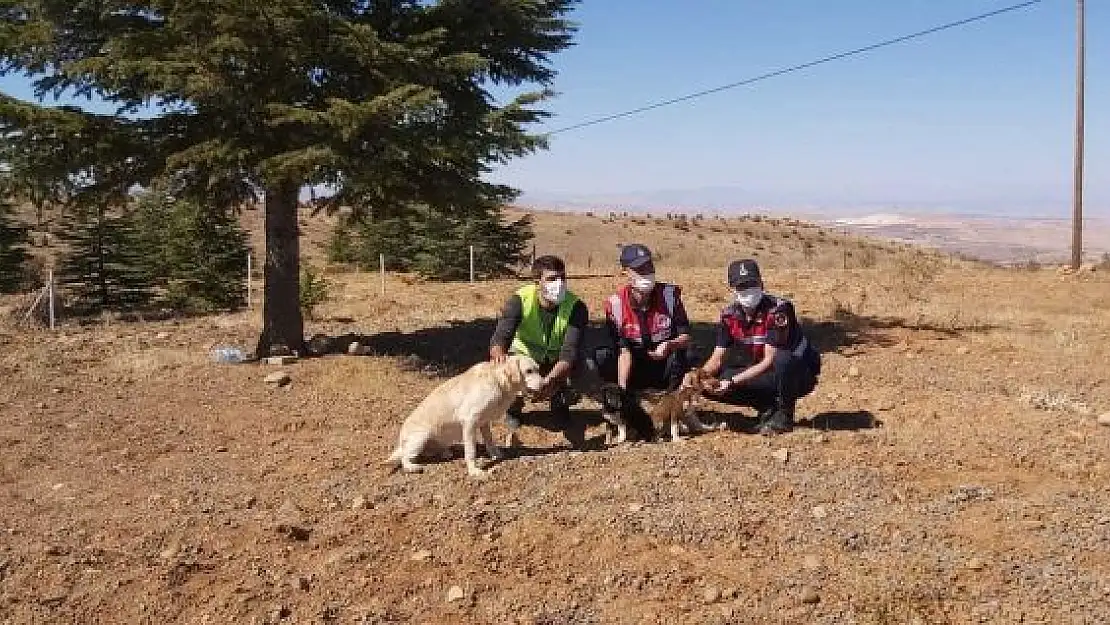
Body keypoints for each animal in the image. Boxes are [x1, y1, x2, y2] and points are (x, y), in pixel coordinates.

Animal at [386, 355, 546, 481]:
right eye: (529, 371)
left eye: (538, 369)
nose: (545, 385)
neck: (498, 381)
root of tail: (401, 441)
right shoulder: (470, 422)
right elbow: (470, 451)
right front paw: (474, 471)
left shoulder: (484, 423)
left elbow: (490, 442)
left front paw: (496, 454)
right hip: (421, 437)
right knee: (404, 457)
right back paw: (412, 467)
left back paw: (445, 452)